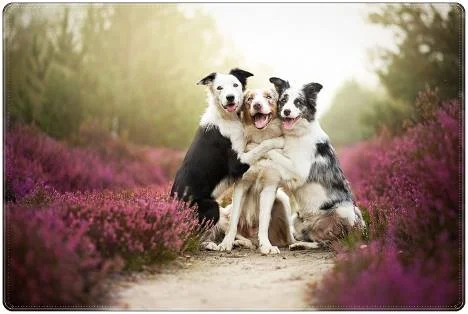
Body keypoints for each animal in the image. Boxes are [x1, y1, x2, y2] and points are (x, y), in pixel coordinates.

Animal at [171, 69, 284, 226]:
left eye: (235, 85)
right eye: (219, 88)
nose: (230, 97)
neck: (227, 117)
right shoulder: (237, 164)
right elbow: (262, 145)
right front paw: (279, 141)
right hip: (210, 206)